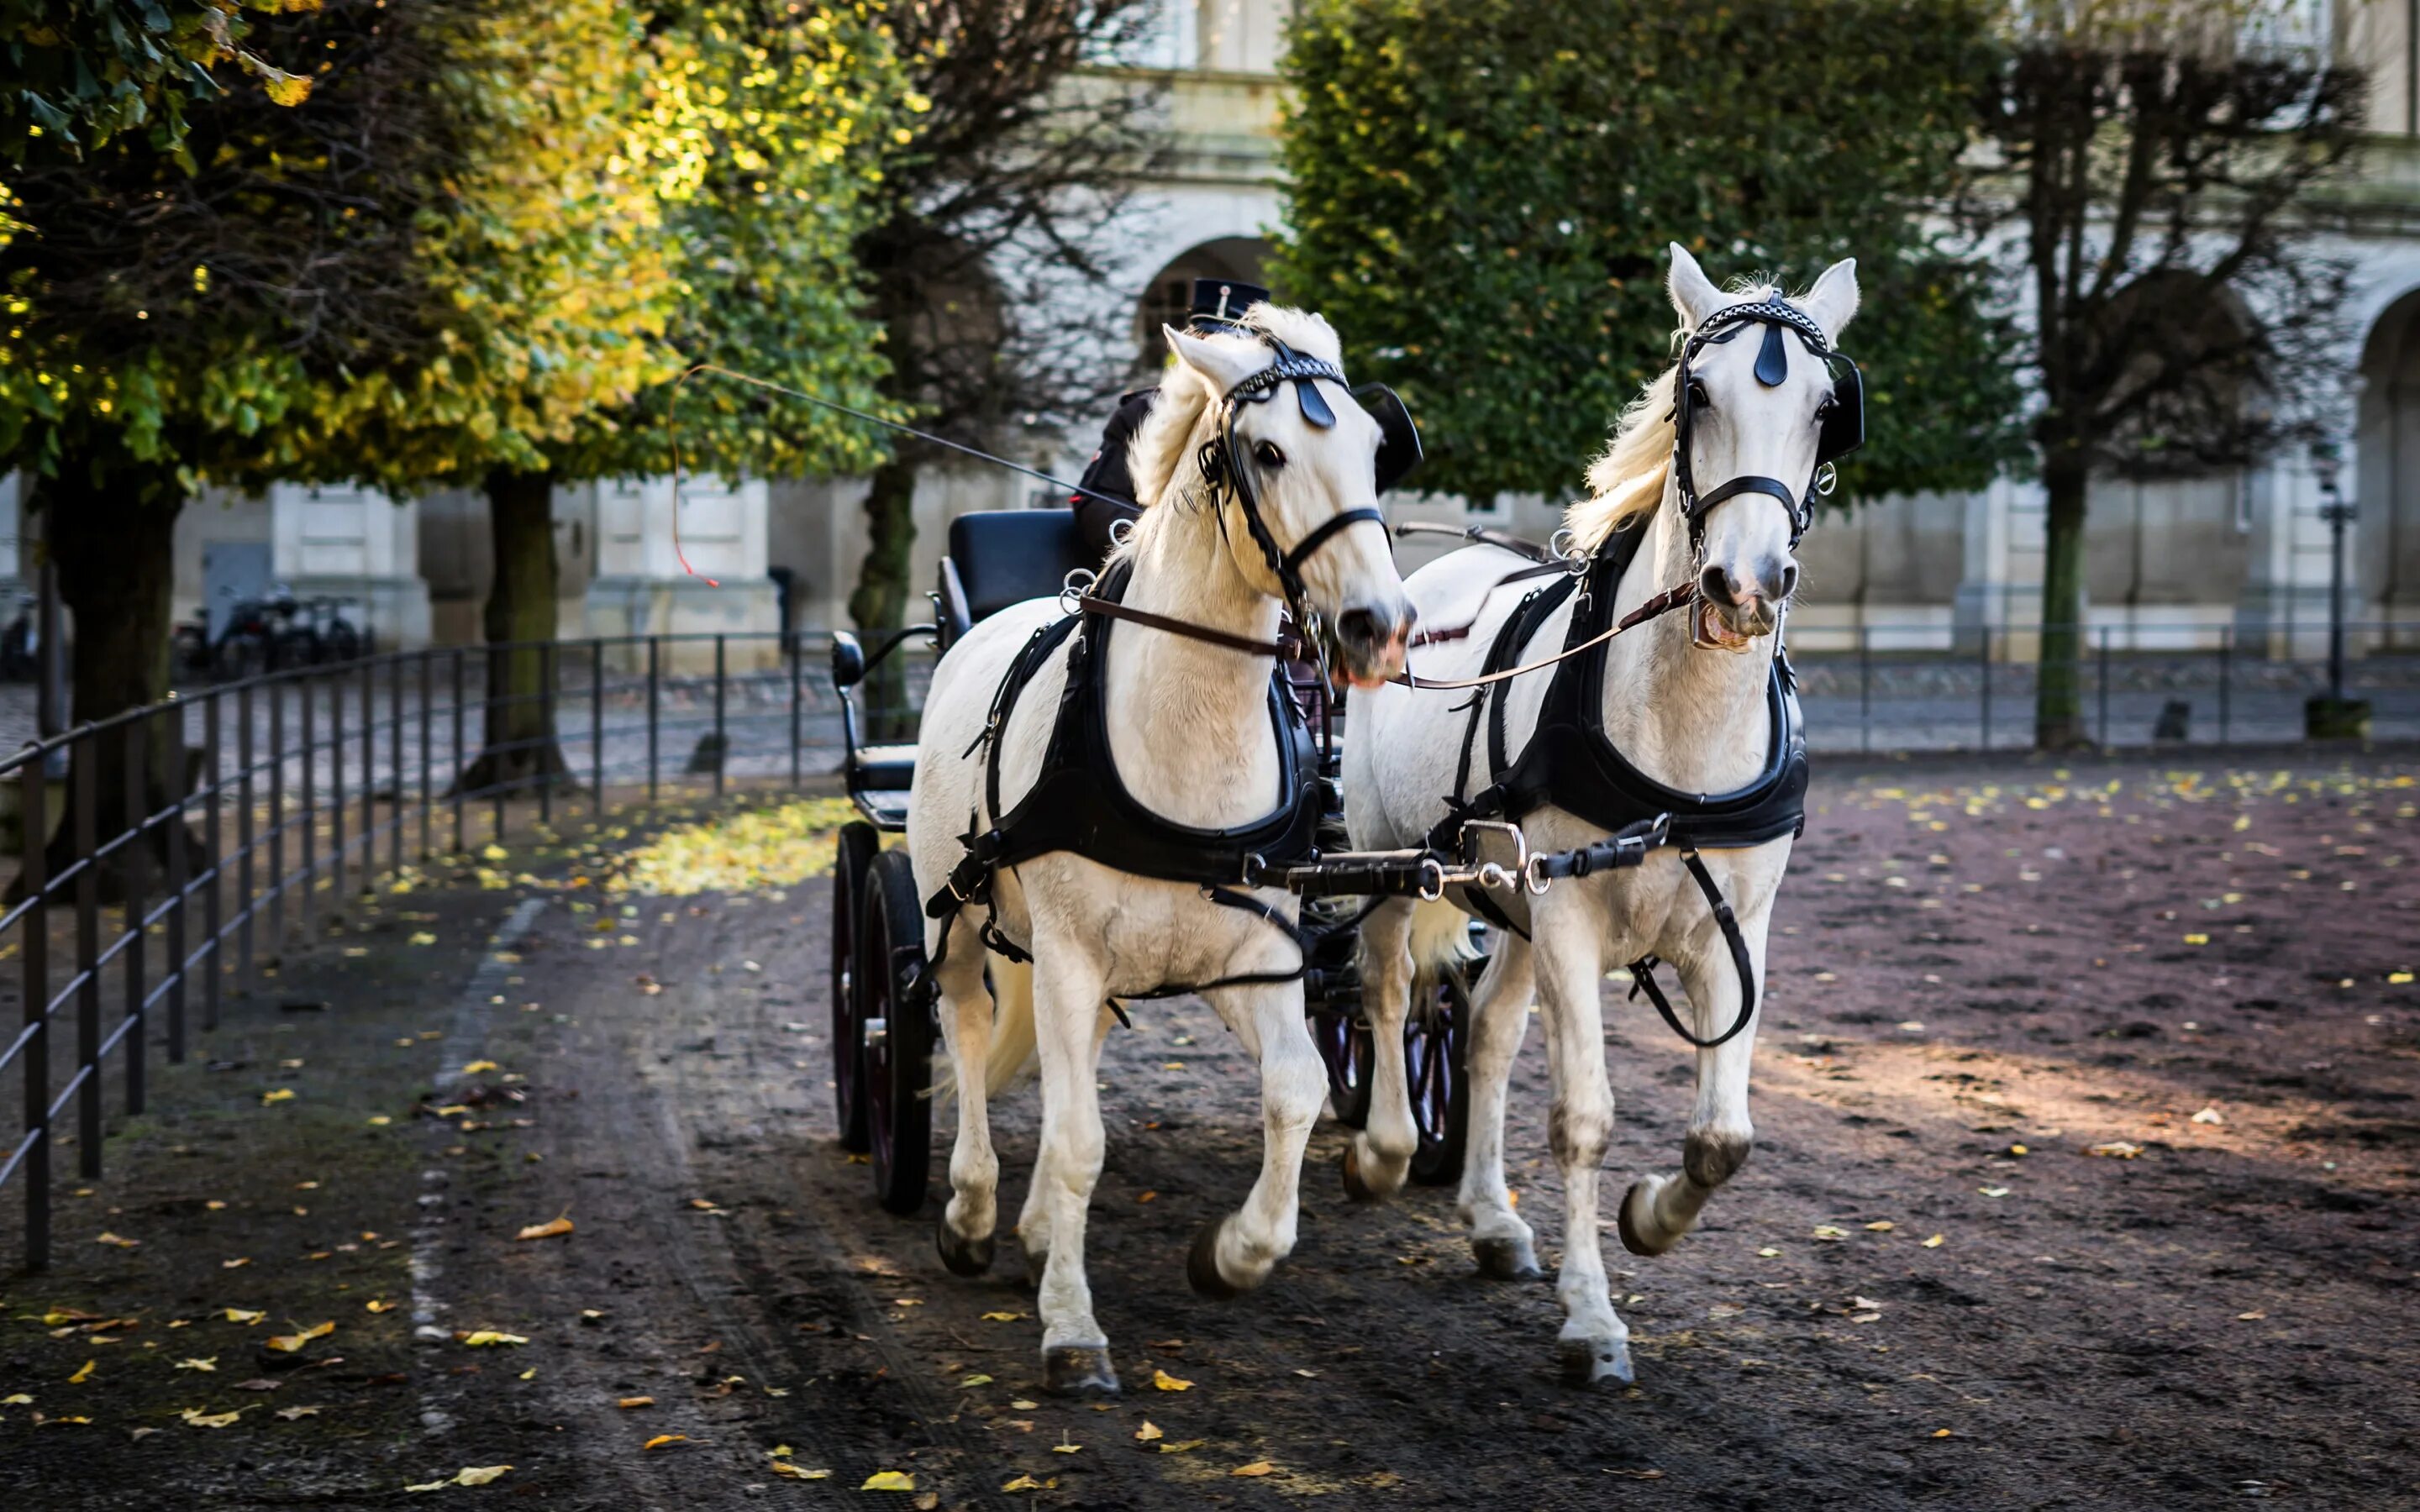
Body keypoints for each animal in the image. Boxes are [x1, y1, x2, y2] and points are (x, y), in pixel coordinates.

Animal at [909, 303, 1413, 1393]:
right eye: (1267, 452)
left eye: (1373, 448)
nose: (1379, 626)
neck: (1188, 736)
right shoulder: (1062, 956)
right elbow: (1077, 1140)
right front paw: (1072, 1330)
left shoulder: (1257, 958)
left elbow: (1295, 1092)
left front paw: (1233, 1253)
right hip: (956, 912)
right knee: (966, 1027)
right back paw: (972, 1209)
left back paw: (1033, 1229)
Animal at [1345, 244, 1849, 1383]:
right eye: (1693, 396)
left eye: (1824, 408)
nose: (1747, 585)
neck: (1680, 744)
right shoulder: (1571, 919)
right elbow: (1582, 1117)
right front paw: (1592, 1318)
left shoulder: (1733, 931)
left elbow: (1725, 1137)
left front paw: (1651, 1217)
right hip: (1390, 858)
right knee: (1387, 992)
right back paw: (1387, 1150)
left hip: (1513, 902)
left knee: (1486, 1032)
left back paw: (1491, 1220)